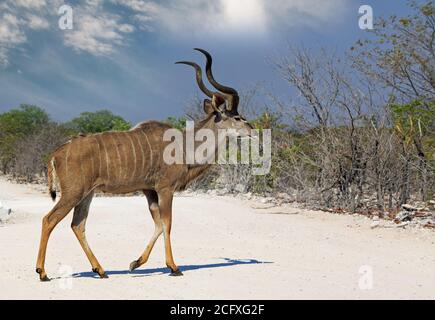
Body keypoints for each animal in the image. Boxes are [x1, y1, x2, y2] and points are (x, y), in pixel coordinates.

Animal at [35, 47, 254, 280]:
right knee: (49, 220)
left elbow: (158, 224)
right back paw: (42, 272)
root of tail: (57, 153)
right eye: (237, 117)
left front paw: (135, 263)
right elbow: (167, 223)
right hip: (73, 193)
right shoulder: (165, 189)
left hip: (87, 194)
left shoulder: (149, 190)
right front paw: (174, 267)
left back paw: (100, 270)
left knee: (78, 224)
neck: (185, 146)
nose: (252, 130)